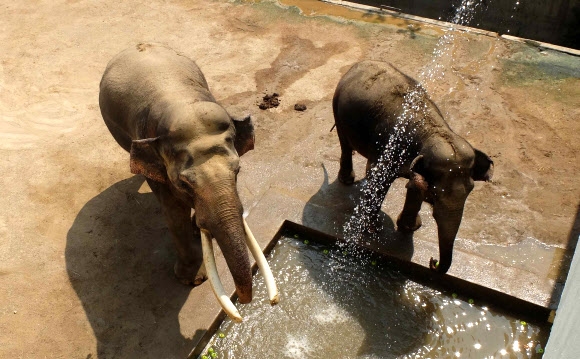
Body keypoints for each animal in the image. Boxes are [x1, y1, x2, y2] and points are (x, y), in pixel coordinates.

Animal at [98, 43, 278, 322]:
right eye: (184, 184)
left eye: (238, 171)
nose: (242, 310)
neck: (182, 100)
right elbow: (173, 211)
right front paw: (192, 280)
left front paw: (198, 230)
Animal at [334, 61, 492, 272]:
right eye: (434, 195)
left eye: (470, 191)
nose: (433, 261)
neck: (433, 131)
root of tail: (360, 63)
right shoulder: (391, 147)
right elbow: (379, 179)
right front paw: (373, 229)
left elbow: (415, 185)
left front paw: (410, 227)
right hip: (337, 108)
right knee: (345, 144)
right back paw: (347, 180)